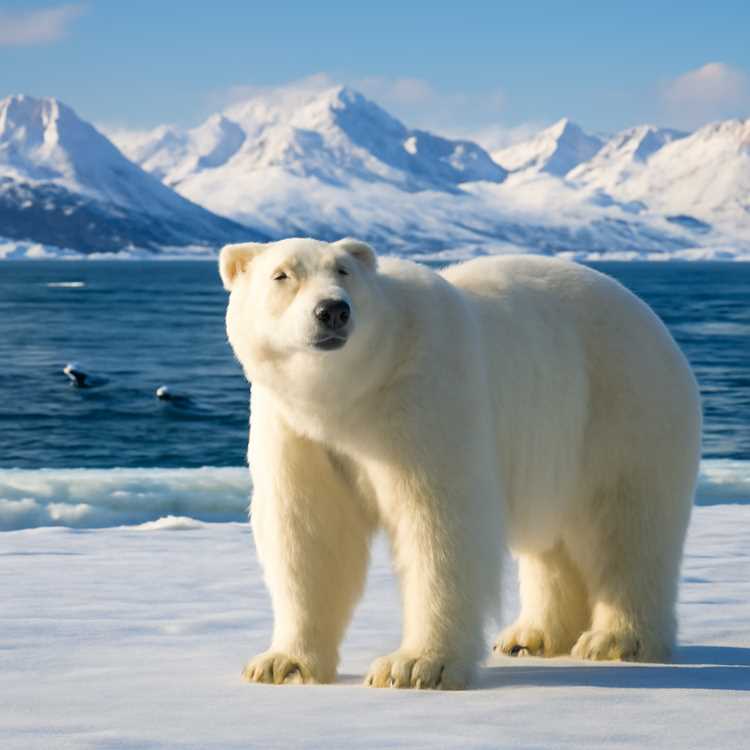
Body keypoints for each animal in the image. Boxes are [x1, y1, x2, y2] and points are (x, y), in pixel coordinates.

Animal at [219, 237, 701, 690]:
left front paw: (415, 666)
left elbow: (438, 521)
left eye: (343, 270)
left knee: (626, 525)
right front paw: (282, 664)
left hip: (621, 408)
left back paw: (616, 640)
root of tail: (653, 322)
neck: (350, 398)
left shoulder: (424, 394)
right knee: (554, 546)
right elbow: (309, 531)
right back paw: (531, 636)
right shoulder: (297, 430)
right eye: (282, 275)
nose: (332, 310)